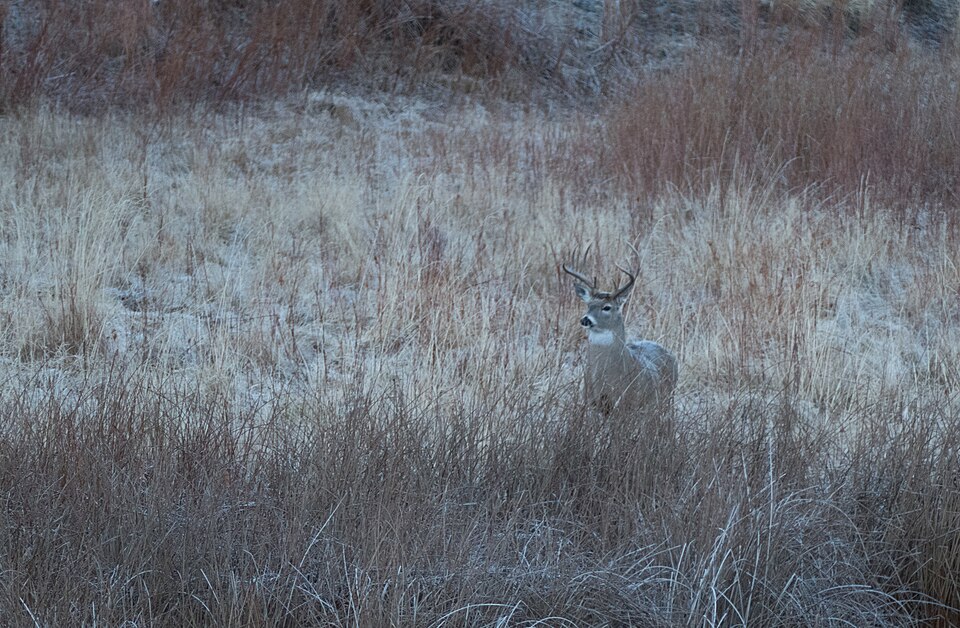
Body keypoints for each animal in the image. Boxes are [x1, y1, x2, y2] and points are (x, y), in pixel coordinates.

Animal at [562, 264, 678, 416]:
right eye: (589, 305)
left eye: (607, 307)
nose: (585, 319)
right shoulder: (590, 403)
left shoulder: (625, 403)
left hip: (666, 400)